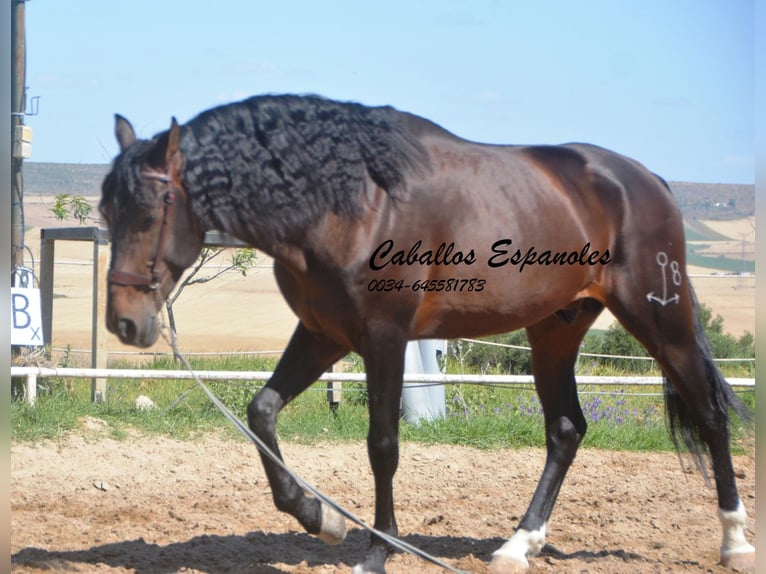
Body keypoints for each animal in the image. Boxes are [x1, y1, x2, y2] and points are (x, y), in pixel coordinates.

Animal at [100, 92, 756, 572]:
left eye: (151, 212)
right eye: (107, 210)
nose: (124, 322)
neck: (348, 202)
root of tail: (646, 181)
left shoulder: (382, 337)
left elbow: (382, 445)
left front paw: (377, 550)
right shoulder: (322, 333)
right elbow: (261, 412)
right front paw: (321, 517)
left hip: (660, 320)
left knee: (710, 414)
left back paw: (735, 542)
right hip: (554, 330)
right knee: (567, 430)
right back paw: (516, 547)